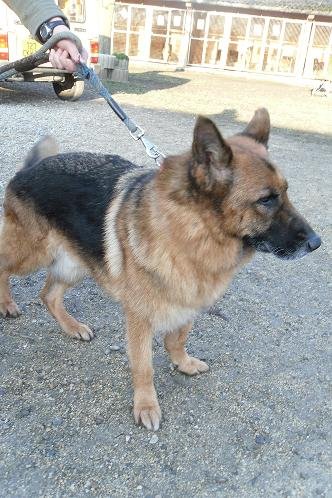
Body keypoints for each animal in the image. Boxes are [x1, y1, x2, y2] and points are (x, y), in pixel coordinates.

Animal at [0, 109, 322, 428]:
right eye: (266, 200)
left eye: (286, 192)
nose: (317, 243)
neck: (196, 231)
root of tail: (29, 169)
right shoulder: (140, 316)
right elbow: (143, 365)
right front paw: (146, 405)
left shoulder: (190, 299)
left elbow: (177, 339)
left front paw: (183, 363)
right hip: (33, 254)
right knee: (6, 268)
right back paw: (7, 304)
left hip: (75, 263)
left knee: (49, 295)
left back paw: (72, 327)